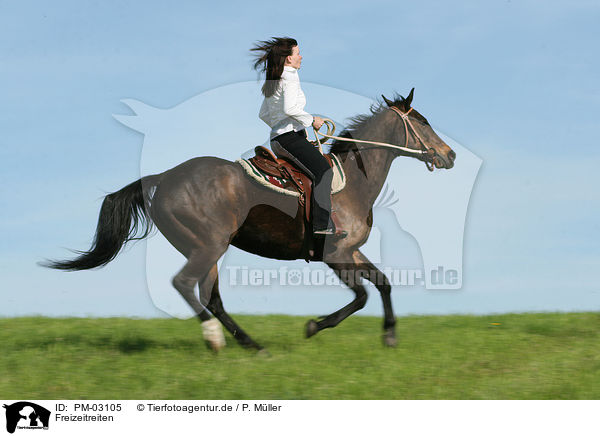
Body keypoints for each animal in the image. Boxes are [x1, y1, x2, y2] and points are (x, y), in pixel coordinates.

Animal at [42, 88, 454, 350]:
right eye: (423, 122)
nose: (449, 155)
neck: (353, 181)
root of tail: (164, 177)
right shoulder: (334, 254)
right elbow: (362, 296)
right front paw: (313, 326)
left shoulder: (351, 252)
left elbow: (383, 284)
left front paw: (390, 336)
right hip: (208, 246)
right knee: (186, 286)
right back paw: (216, 339)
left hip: (204, 249)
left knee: (211, 298)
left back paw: (252, 345)